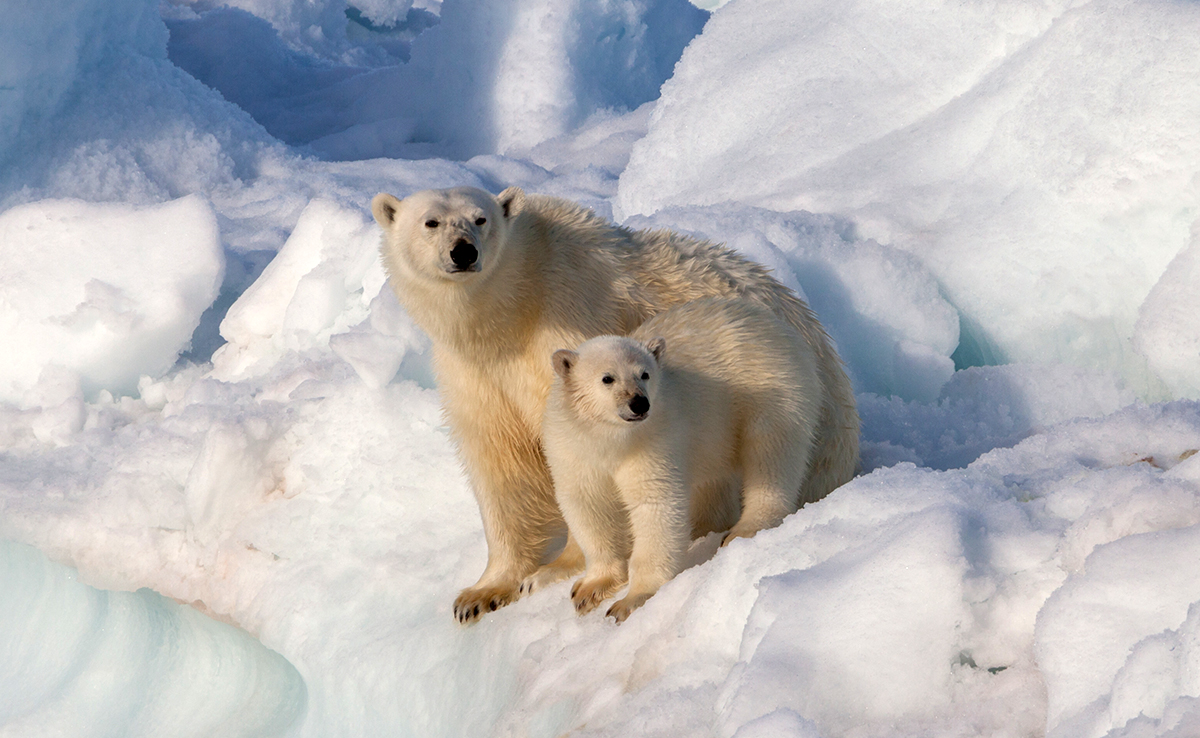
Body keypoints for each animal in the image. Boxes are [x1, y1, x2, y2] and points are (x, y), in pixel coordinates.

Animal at [547, 297, 820, 619]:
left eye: (645, 373)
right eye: (607, 378)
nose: (639, 403)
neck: (611, 441)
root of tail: (780, 326)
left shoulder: (653, 441)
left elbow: (655, 506)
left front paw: (629, 601)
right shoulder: (572, 452)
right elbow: (589, 507)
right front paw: (588, 590)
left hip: (772, 389)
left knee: (771, 456)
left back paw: (745, 528)